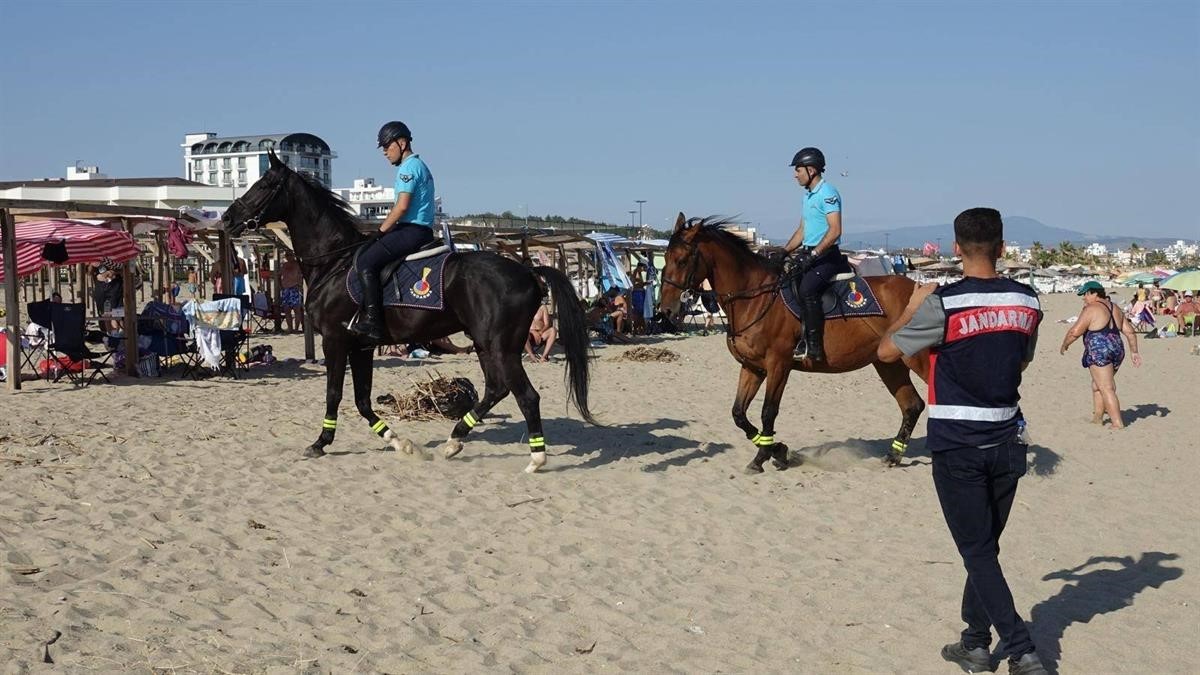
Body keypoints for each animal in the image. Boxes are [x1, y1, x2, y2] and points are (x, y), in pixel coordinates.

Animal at [222, 149, 595, 470]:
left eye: (264, 185)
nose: (227, 217)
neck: (333, 262)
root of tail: (528, 271)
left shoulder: (335, 341)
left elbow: (334, 394)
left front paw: (320, 442)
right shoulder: (361, 347)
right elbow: (362, 400)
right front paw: (399, 442)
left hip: (501, 346)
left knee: (526, 396)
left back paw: (536, 459)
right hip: (485, 343)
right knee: (497, 388)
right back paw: (455, 440)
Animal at [662, 214, 931, 473]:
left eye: (682, 260)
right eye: (665, 257)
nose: (666, 309)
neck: (755, 298)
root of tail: (921, 288)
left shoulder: (779, 365)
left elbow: (768, 412)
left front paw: (763, 456)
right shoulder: (752, 367)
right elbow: (738, 414)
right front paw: (777, 450)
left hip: (916, 359)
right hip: (889, 364)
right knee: (912, 405)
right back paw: (893, 456)